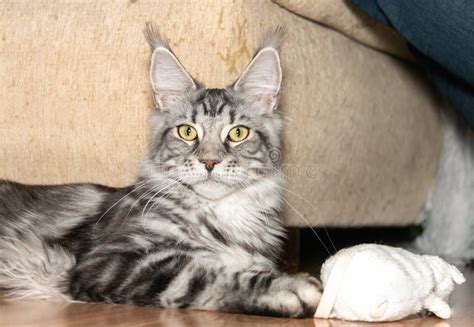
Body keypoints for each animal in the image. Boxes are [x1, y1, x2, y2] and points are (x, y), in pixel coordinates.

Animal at [0, 28, 322, 318]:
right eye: (187, 132)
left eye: (238, 133)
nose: (209, 161)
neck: (220, 215)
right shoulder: (107, 261)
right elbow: (200, 274)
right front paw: (286, 287)